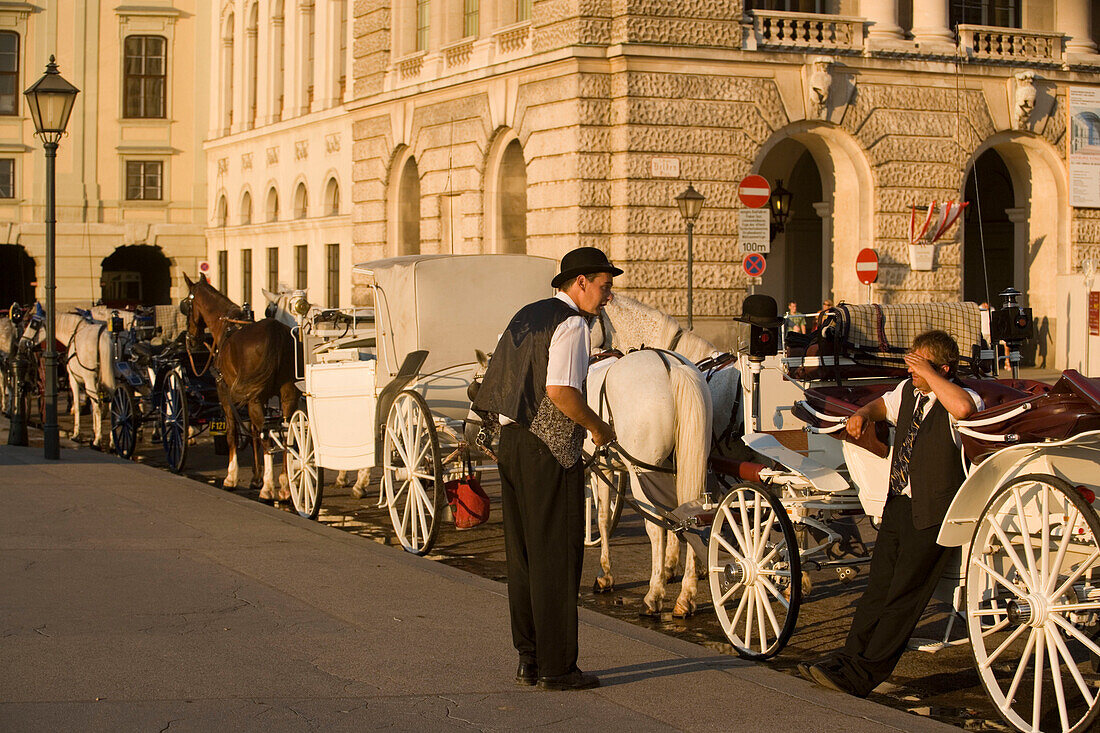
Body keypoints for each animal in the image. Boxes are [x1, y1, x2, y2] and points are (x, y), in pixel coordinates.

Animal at [182, 270, 301, 499]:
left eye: (186, 306)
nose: (191, 340)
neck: (227, 326)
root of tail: (276, 332)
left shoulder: (225, 392)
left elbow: (232, 433)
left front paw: (232, 477)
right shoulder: (258, 397)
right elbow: (253, 432)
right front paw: (256, 478)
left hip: (254, 398)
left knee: (267, 436)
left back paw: (268, 488)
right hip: (287, 395)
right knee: (284, 432)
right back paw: (284, 485)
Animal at [589, 347, 708, 616]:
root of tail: (673, 367)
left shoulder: (601, 469)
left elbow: (602, 519)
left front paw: (604, 575)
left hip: (642, 472)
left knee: (655, 528)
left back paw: (654, 595)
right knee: (691, 517)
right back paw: (686, 596)